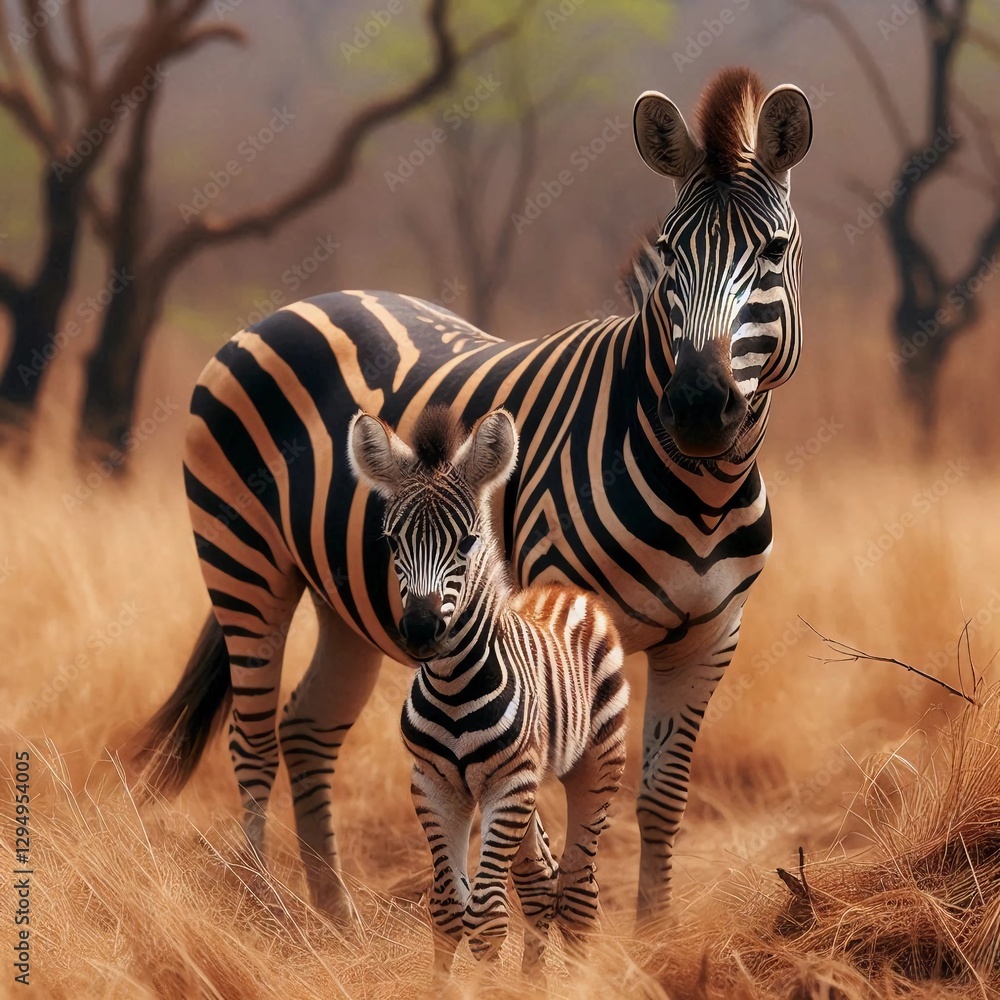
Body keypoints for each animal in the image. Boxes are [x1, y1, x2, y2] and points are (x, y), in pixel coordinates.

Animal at [347, 405, 628, 976]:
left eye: (467, 543)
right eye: (392, 543)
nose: (421, 630)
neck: (453, 684)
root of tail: (563, 589)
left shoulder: (508, 783)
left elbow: (488, 916)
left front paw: (488, 984)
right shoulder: (434, 785)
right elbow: (447, 908)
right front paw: (455, 985)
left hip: (595, 764)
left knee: (579, 892)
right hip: (524, 783)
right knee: (541, 882)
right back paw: (531, 983)